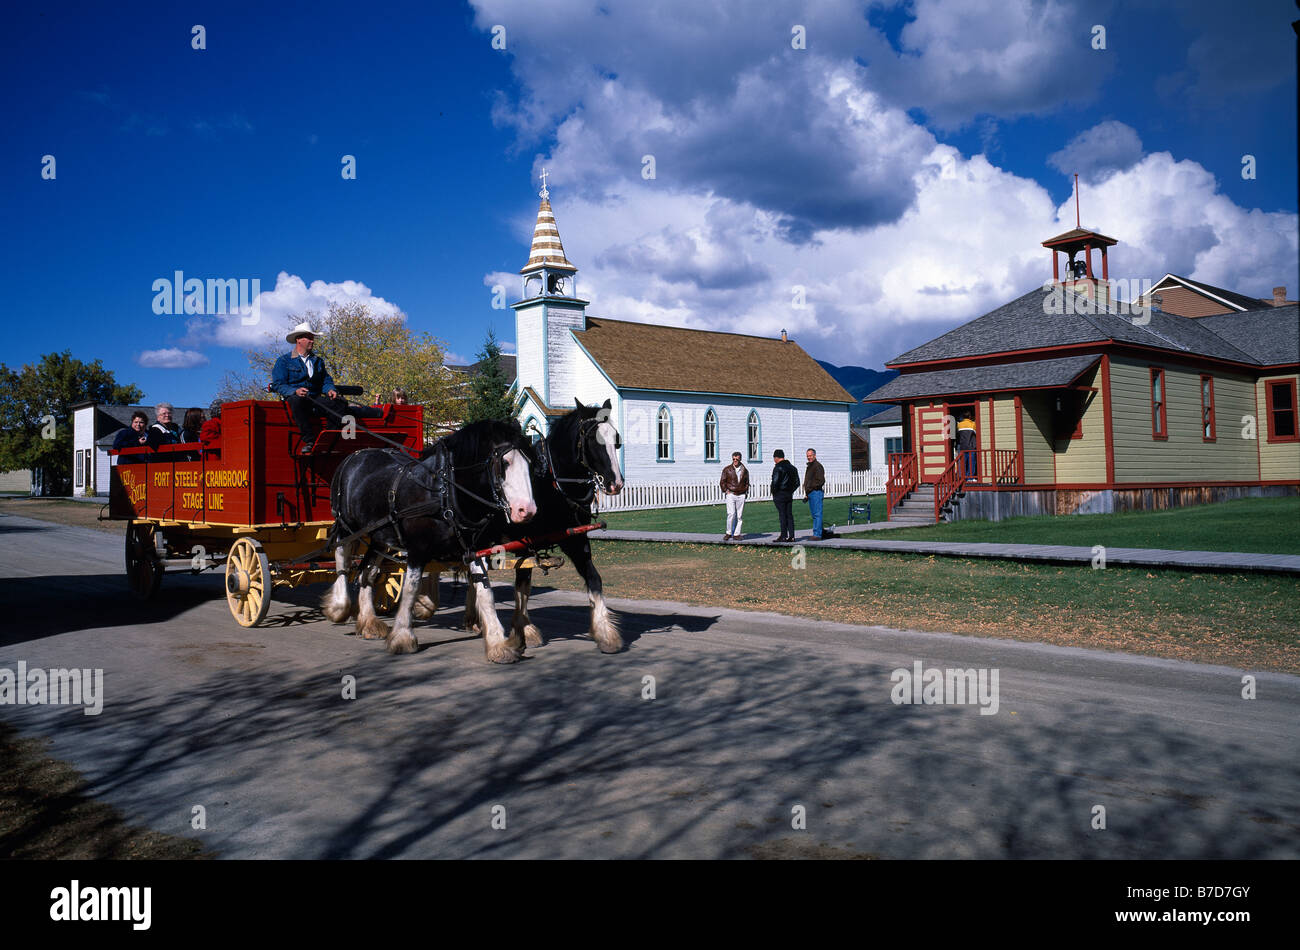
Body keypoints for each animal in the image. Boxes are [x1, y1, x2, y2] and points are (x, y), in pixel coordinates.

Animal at [323, 421, 538, 657]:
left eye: (530, 464)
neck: (445, 492)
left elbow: (485, 592)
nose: (527, 510)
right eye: (505, 463)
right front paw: (403, 636)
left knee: (366, 573)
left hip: (380, 536)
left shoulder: (473, 548)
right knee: (342, 558)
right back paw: (339, 607)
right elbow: (411, 588)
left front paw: (498, 643)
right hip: (347, 526)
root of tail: (355, 455)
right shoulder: (418, 549)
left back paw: (368, 622)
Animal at [465, 400, 626, 654]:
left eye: (616, 439)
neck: (551, 484)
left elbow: (593, 578)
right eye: (592, 439)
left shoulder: (575, 540)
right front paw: (526, 629)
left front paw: (605, 633)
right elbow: (522, 586)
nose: (615, 483)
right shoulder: (523, 543)